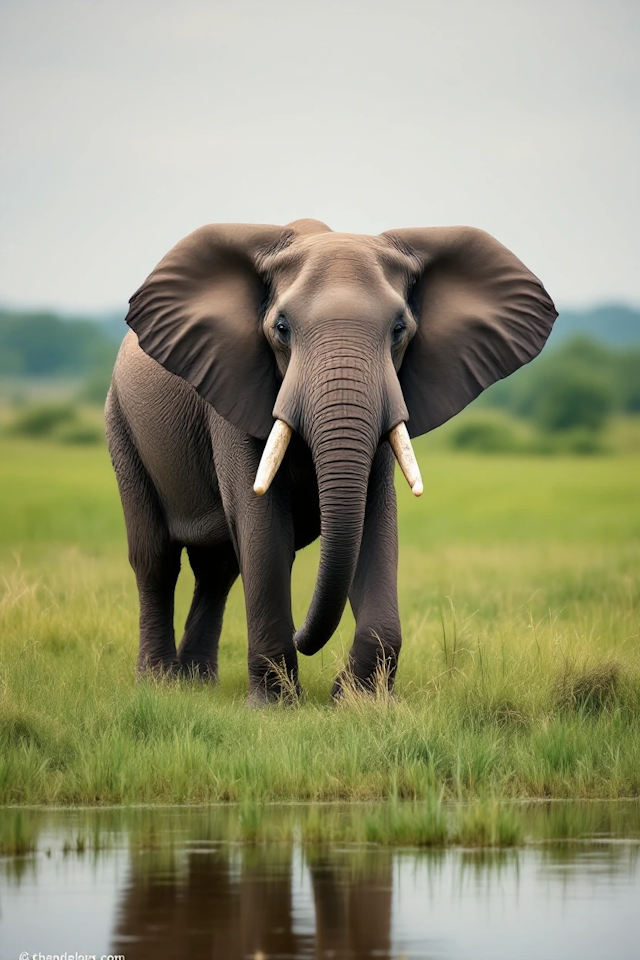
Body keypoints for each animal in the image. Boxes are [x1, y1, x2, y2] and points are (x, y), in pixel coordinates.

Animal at [106, 218, 556, 700]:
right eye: (282, 328)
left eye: (399, 328)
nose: (303, 638)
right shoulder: (231, 393)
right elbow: (263, 531)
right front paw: (277, 704)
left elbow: (373, 525)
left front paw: (359, 700)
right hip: (121, 426)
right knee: (156, 560)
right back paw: (159, 683)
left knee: (218, 567)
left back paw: (196, 683)